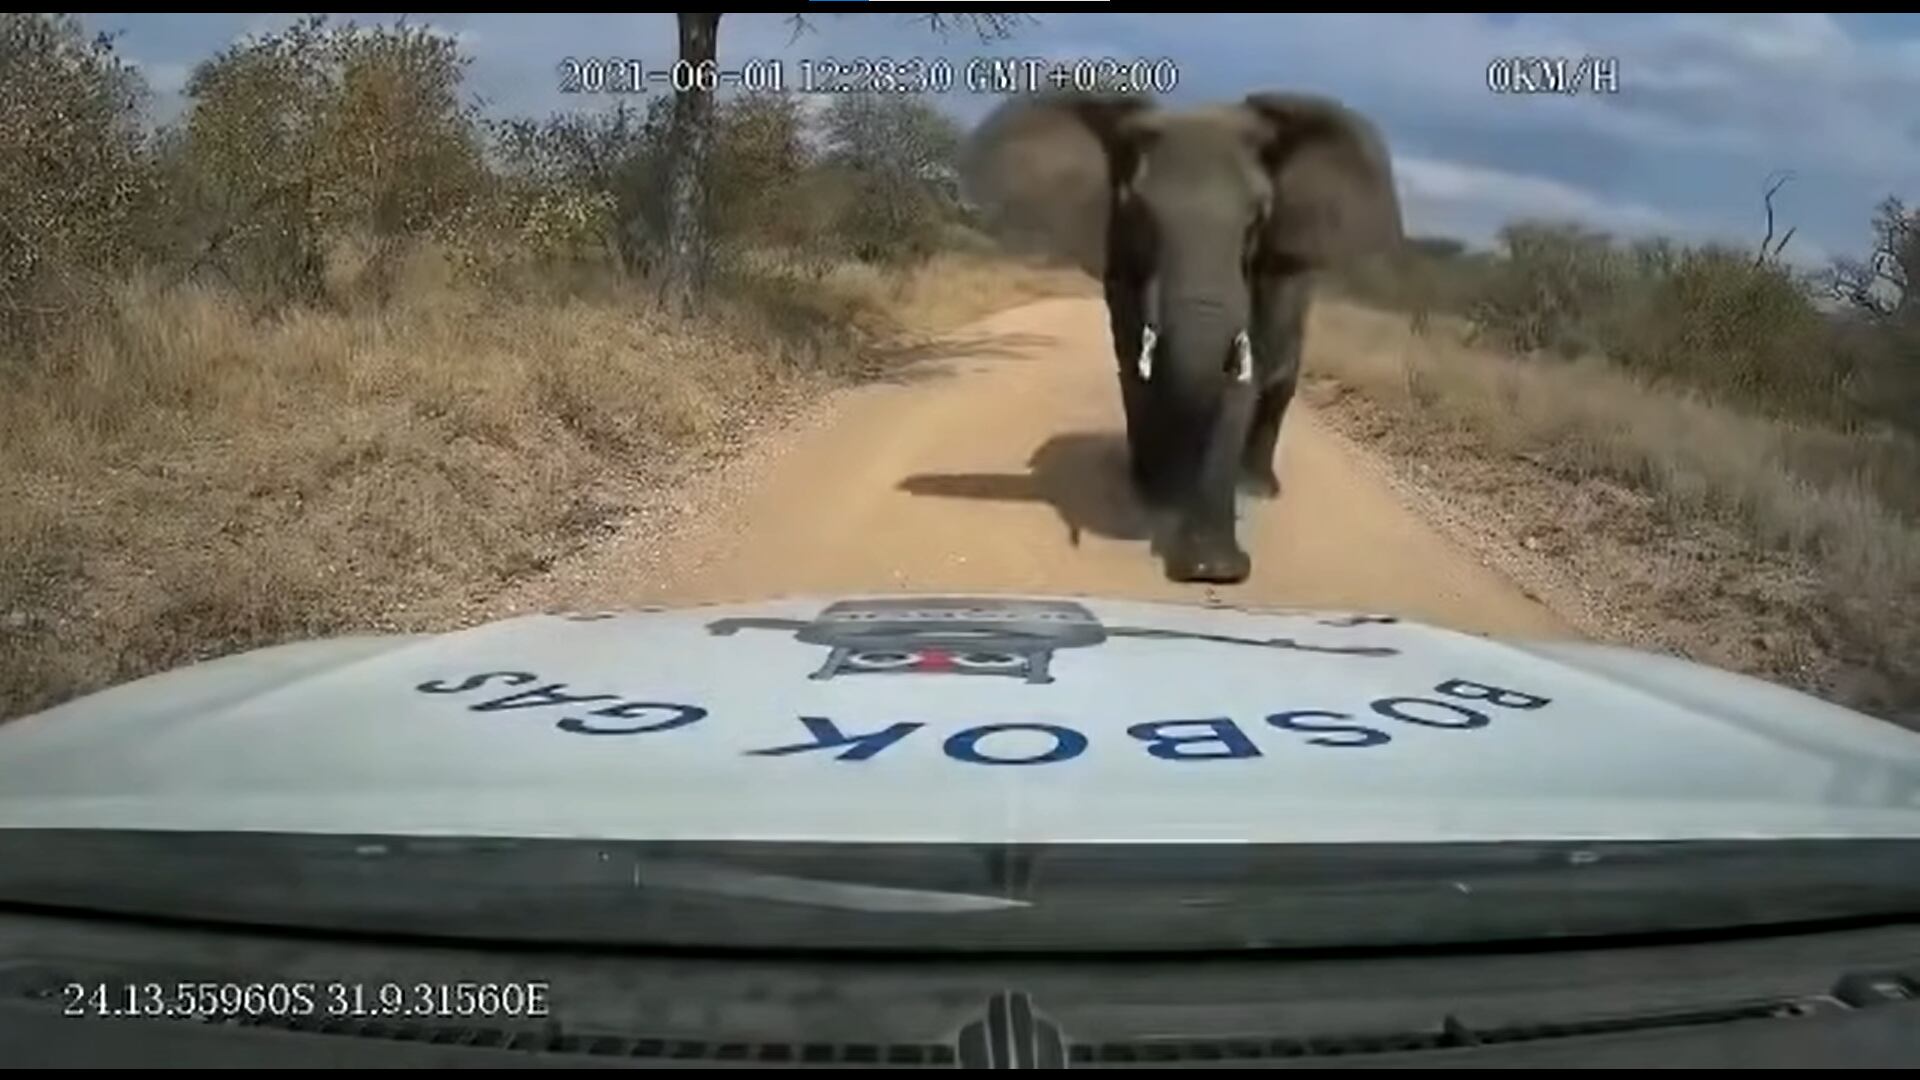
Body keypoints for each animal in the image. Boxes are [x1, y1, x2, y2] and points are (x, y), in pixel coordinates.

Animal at [960, 91, 1404, 583]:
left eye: (1257, 220)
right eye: (1139, 213)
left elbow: (1242, 378)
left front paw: (1213, 571)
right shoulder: (1121, 260)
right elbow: (1134, 361)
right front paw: (1155, 495)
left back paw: (1257, 487)